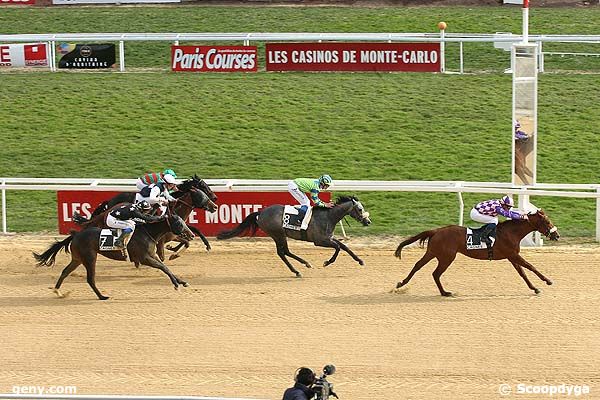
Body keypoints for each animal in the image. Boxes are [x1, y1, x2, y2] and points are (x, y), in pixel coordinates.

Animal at [33, 214, 195, 298]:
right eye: (179, 223)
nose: (191, 235)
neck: (147, 233)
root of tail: (75, 234)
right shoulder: (144, 258)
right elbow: (163, 267)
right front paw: (176, 285)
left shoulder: (152, 256)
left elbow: (166, 267)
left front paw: (182, 282)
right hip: (90, 258)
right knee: (90, 278)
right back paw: (102, 296)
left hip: (77, 259)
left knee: (65, 272)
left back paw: (58, 291)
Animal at [217, 195, 370, 276]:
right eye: (360, 209)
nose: (368, 221)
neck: (328, 216)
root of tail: (260, 213)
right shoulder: (320, 240)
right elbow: (338, 248)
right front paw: (327, 262)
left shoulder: (329, 237)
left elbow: (344, 246)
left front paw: (360, 260)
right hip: (277, 233)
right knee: (282, 252)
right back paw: (297, 270)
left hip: (279, 235)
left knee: (284, 251)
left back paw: (303, 265)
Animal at [396, 209, 560, 296]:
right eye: (547, 222)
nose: (556, 235)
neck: (511, 232)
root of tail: (436, 231)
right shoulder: (513, 254)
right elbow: (531, 266)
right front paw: (548, 281)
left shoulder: (511, 256)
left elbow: (523, 273)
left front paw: (535, 288)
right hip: (446, 257)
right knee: (435, 273)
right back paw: (445, 292)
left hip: (433, 253)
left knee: (418, 265)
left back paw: (401, 283)